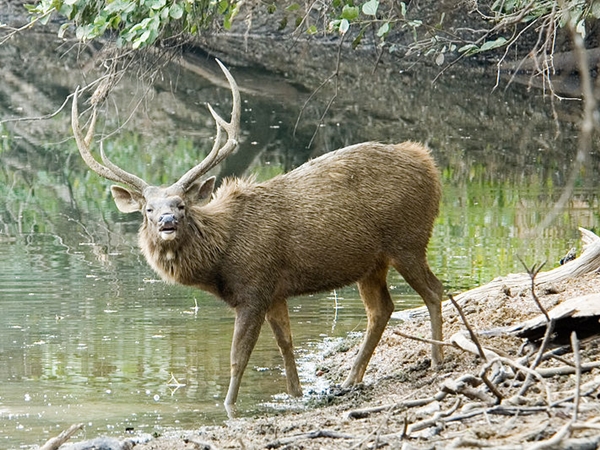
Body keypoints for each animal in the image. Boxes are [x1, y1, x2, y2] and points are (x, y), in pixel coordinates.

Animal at [71, 60, 446, 412]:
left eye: (181, 205)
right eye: (148, 209)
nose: (167, 221)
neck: (220, 261)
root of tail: (429, 163)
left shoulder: (253, 289)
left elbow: (238, 357)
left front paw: (228, 405)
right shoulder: (275, 291)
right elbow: (286, 343)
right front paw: (296, 393)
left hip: (409, 240)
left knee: (434, 290)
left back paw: (438, 359)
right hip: (371, 263)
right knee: (382, 309)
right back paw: (351, 379)